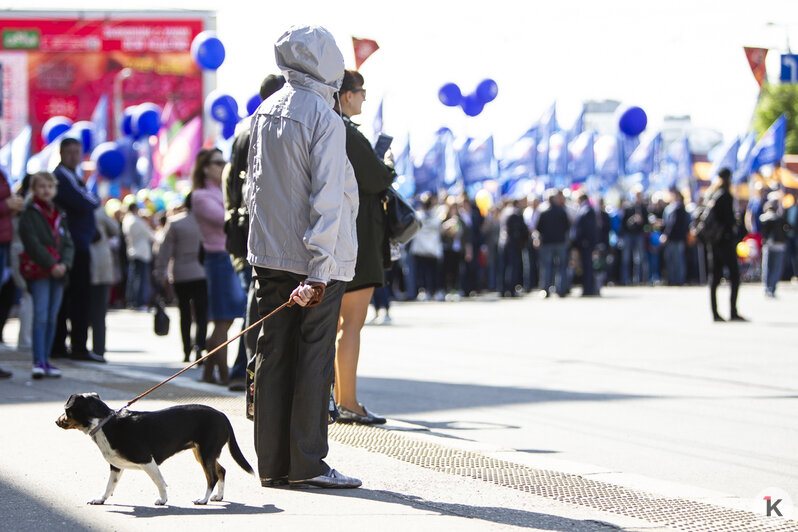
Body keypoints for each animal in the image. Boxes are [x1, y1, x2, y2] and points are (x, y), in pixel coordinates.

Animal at [57, 392, 253, 504]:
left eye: (66, 410)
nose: (56, 421)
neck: (105, 424)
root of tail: (223, 416)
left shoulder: (146, 460)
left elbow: (159, 481)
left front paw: (163, 500)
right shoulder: (116, 466)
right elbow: (109, 486)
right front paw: (100, 500)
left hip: (206, 453)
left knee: (212, 477)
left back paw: (203, 500)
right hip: (203, 453)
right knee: (221, 471)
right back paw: (218, 497)